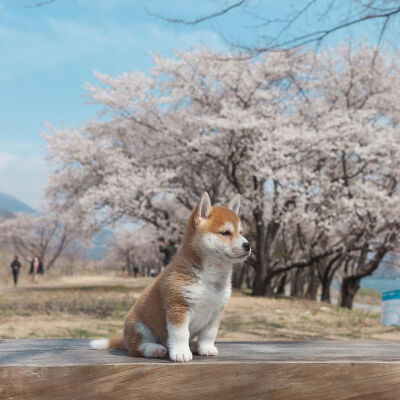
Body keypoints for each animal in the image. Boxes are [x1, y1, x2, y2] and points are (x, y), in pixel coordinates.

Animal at [92, 193, 252, 362]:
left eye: (241, 233)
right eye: (225, 232)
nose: (248, 245)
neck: (211, 274)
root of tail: (124, 338)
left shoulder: (216, 312)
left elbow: (209, 334)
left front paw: (206, 348)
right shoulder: (178, 306)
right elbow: (180, 334)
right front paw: (181, 352)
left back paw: (193, 346)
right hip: (139, 327)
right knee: (136, 347)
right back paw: (155, 349)